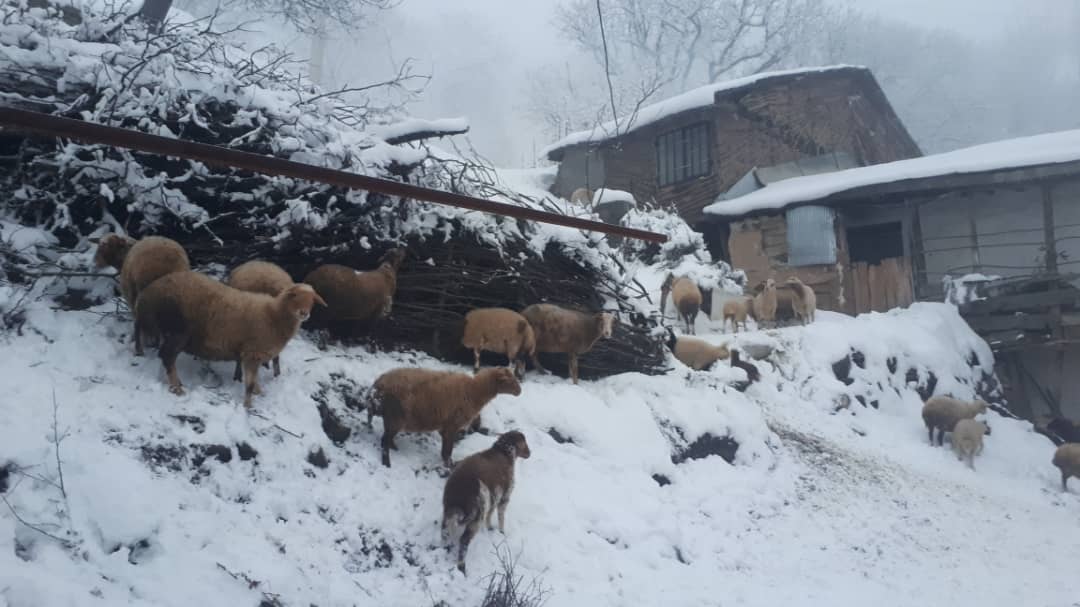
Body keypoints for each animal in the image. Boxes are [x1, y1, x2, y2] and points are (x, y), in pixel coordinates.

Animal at [132, 268, 324, 406]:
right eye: (294, 296)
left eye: (312, 300)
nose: (304, 313)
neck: (273, 315)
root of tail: (146, 294)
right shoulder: (252, 353)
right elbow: (249, 384)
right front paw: (248, 406)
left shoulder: (253, 355)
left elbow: (254, 380)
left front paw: (260, 393)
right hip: (177, 331)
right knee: (167, 357)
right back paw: (177, 388)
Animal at [365, 362, 520, 468]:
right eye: (509, 380)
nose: (520, 391)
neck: (474, 390)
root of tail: (376, 386)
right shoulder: (452, 424)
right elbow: (448, 449)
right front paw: (449, 464)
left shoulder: (446, 425)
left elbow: (446, 446)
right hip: (395, 417)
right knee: (384, 441)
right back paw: (387, 463)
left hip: (392, 419)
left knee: (386, 437)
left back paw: (394, 447)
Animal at [438, 427, 531, 574]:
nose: (530, 453)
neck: (505, 451)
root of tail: (459, 493)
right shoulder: (504, 496)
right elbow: (501, 517)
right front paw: (501, 533)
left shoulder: (494, 495)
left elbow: (490, 514)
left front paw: (490, 528)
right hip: (476, 514)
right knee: (463, 542)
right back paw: (462, 567)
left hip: (449, 509)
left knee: (444, 530)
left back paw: (444, 548)